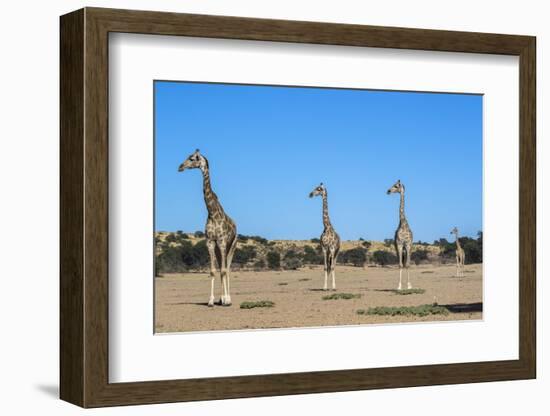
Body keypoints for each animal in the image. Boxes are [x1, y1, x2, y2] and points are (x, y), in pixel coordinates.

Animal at [178, 150, 236, 306]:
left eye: (192, 158)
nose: (180, 167)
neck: (212, 212)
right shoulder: (210, 242)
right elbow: (213, 271)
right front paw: (211, 300)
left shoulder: (222, 242)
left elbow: (223, 270)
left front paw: (226, 300)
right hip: (218, 248)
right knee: (222, 267)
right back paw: (221, 298)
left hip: (231, 246)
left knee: (227, 268)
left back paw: (228, 298)